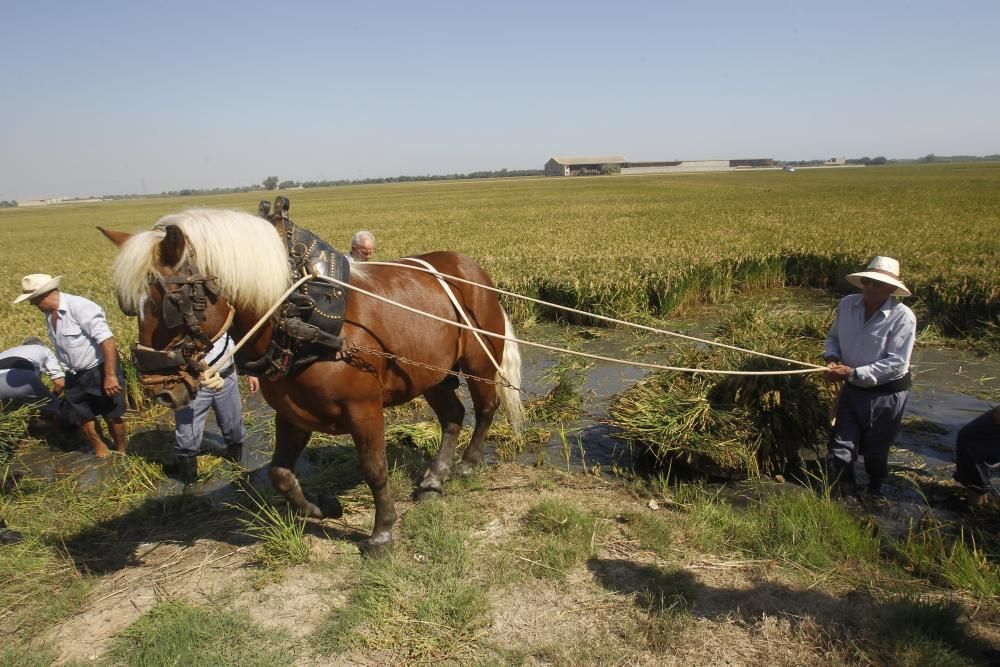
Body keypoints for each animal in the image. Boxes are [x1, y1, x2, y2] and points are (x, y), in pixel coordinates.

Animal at [100, 210, 524, 560]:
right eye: (128, 306)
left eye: (171, 302)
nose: (158, 387)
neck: (297, 316)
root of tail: (473, 269)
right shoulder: (293, 413)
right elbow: (280, 473)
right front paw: (323, 507)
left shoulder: (363, 408)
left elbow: (374, 468)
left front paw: (381, 533)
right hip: (429, 375)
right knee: (452, 416)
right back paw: (435, 478)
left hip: (478, 362)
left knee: (484, 408)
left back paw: (467, 465)